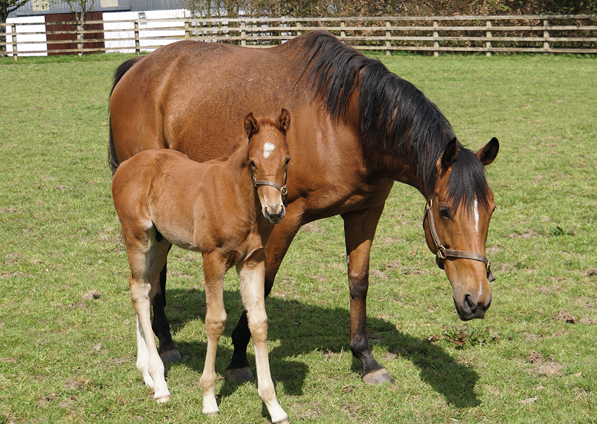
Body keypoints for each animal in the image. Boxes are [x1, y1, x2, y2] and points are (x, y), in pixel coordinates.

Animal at [112, 110, 292, 424]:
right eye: (252, 162)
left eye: (286, 160)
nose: (274, 211)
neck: (238, 198)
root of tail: (126, 165)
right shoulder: (213, 259)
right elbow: (215, 321)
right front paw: (209, 399)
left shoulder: (253, 260)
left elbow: (259, 322)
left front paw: (274, 406)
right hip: (137, 236)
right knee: (139, 291)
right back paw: (160, 384)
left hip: (160, 242)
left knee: (143, 287)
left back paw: (147, 373)